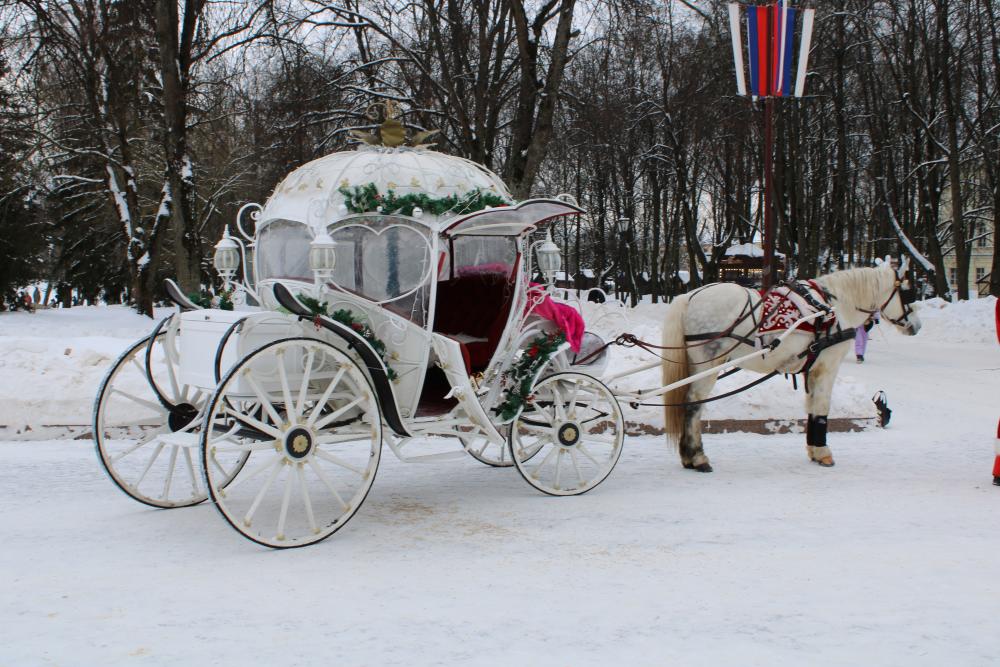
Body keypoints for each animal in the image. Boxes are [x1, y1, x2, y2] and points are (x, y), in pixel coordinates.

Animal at [660, 256, 916, 470]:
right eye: (908, 292)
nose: (916, 325)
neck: (835, 305)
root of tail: (689, 297)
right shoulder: (828, 366)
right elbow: (822, 407)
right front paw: (823, 452)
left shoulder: (811, 368)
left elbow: (811, 407)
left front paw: (814, 450)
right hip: (708, 363)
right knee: (694, 404)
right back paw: (697, 457)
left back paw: (688, 456)